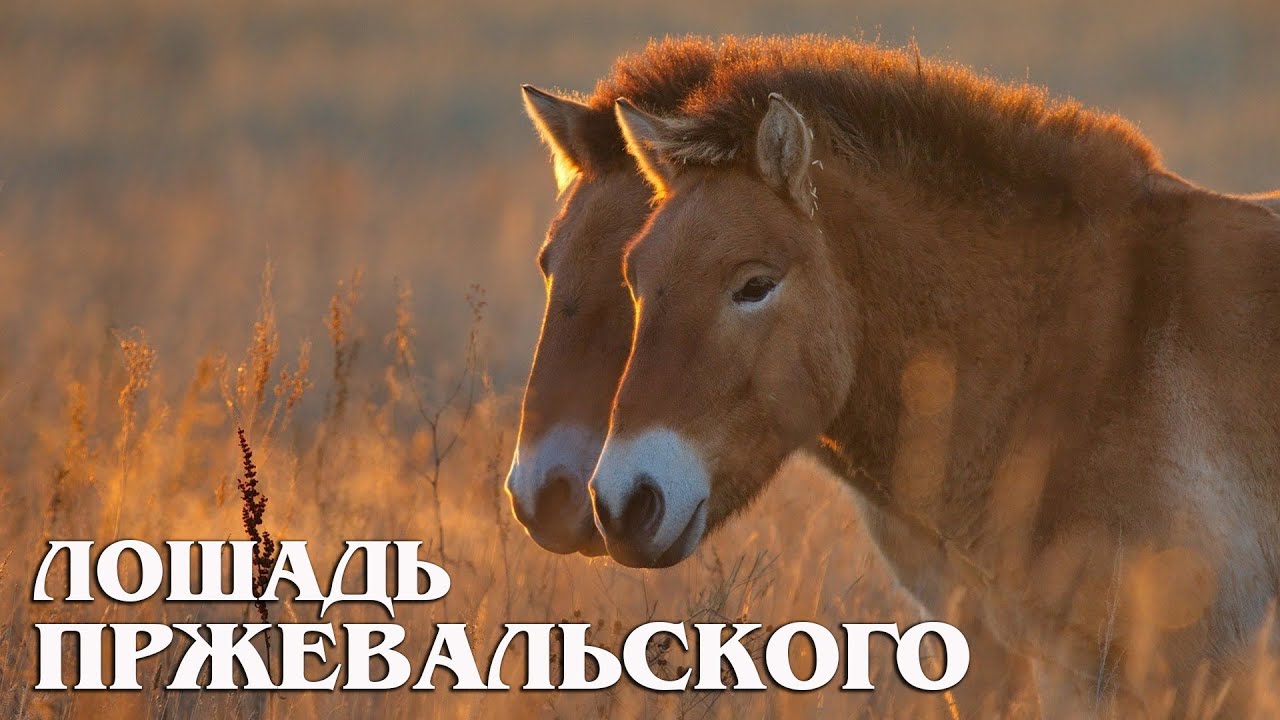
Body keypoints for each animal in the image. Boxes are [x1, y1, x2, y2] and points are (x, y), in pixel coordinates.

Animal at [598, 36, 1280, 715]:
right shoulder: (1066, 670)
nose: (625, 504)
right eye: (635, 277)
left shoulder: (1185, 671)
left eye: (754, 285)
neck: (1094, 355)